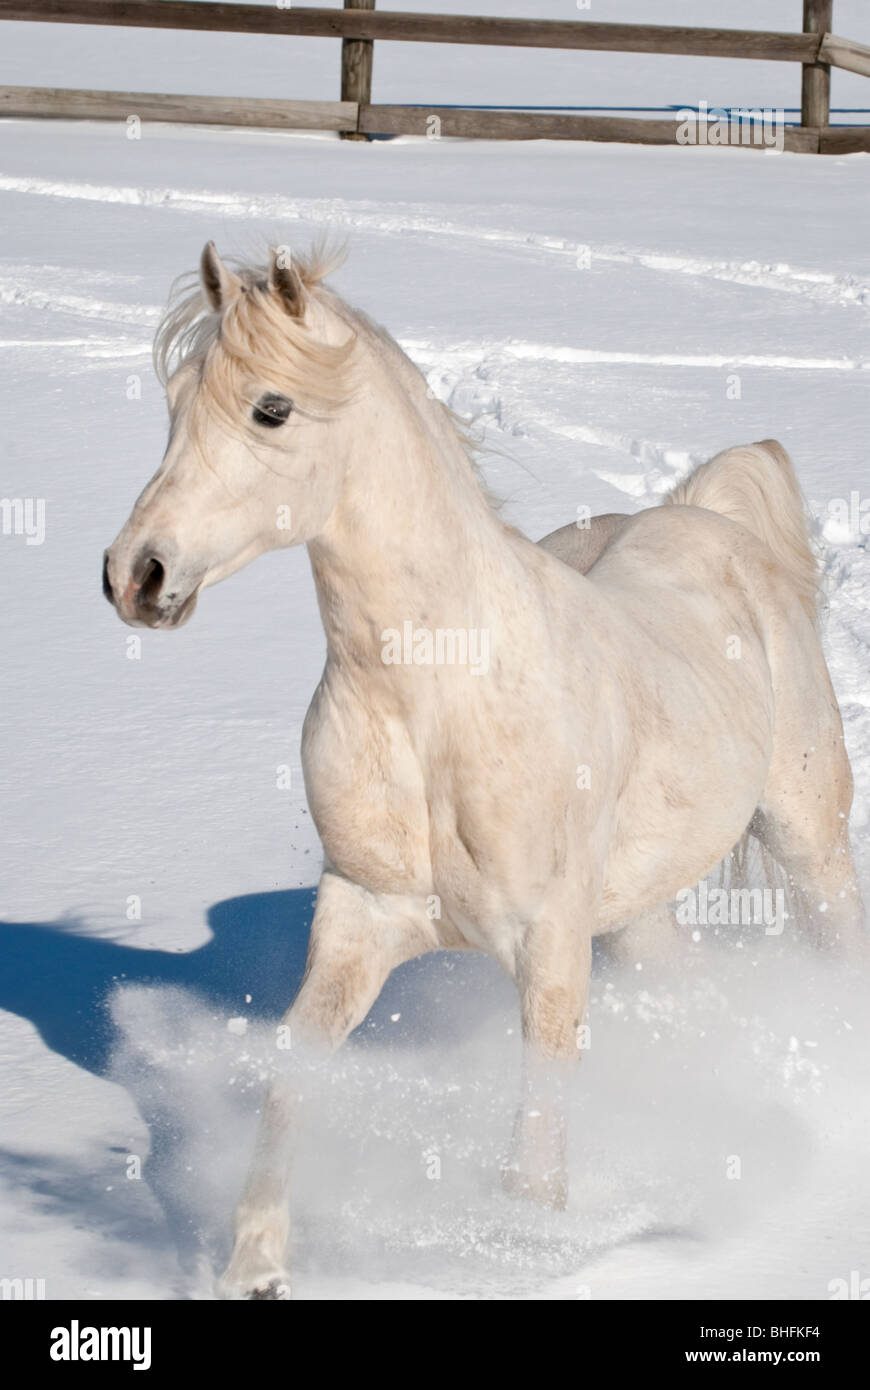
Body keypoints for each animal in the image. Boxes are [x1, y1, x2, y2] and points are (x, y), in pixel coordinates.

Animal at [103, 244, 861, 1295]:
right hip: (635, 918)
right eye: (174, 399)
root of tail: (708, 521)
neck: (437, 703)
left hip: (806, 842)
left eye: (271, 408)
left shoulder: (548, 951)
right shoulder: (359, 920)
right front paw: (255, 1264)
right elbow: (294, 1080)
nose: (136, 575)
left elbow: (534, 1150)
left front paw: (526, 1256)